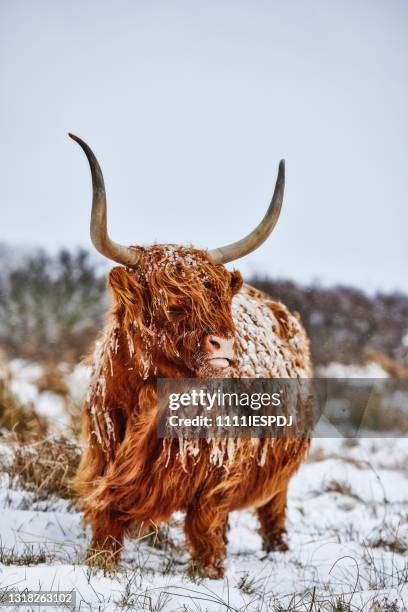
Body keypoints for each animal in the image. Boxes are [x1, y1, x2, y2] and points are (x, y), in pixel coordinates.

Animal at [71, 134, 312, 580]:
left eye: (219, 299)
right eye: (170, 301)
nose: (225, 345)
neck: (148, 400)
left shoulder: (217, 475)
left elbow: (204, 525)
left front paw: (208, 574)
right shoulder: (104, 458)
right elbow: (107, 520)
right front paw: (100, 565)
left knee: (274, 507)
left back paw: (277, 550)